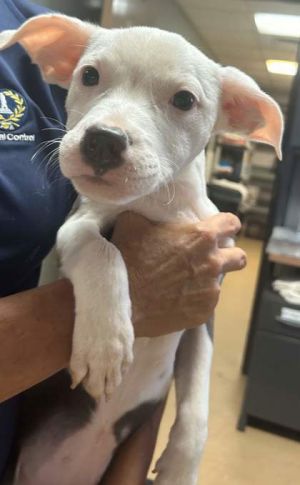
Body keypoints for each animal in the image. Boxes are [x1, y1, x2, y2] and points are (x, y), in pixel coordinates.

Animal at [0, 14, 284, 484]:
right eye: (89, 75)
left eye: (184, 100)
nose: (104, 139)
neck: (162, 204)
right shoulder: (78, 224)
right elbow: (102, 252)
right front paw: (107, 346)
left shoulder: (203, 311)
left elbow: (197, 402)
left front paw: (180, 467)